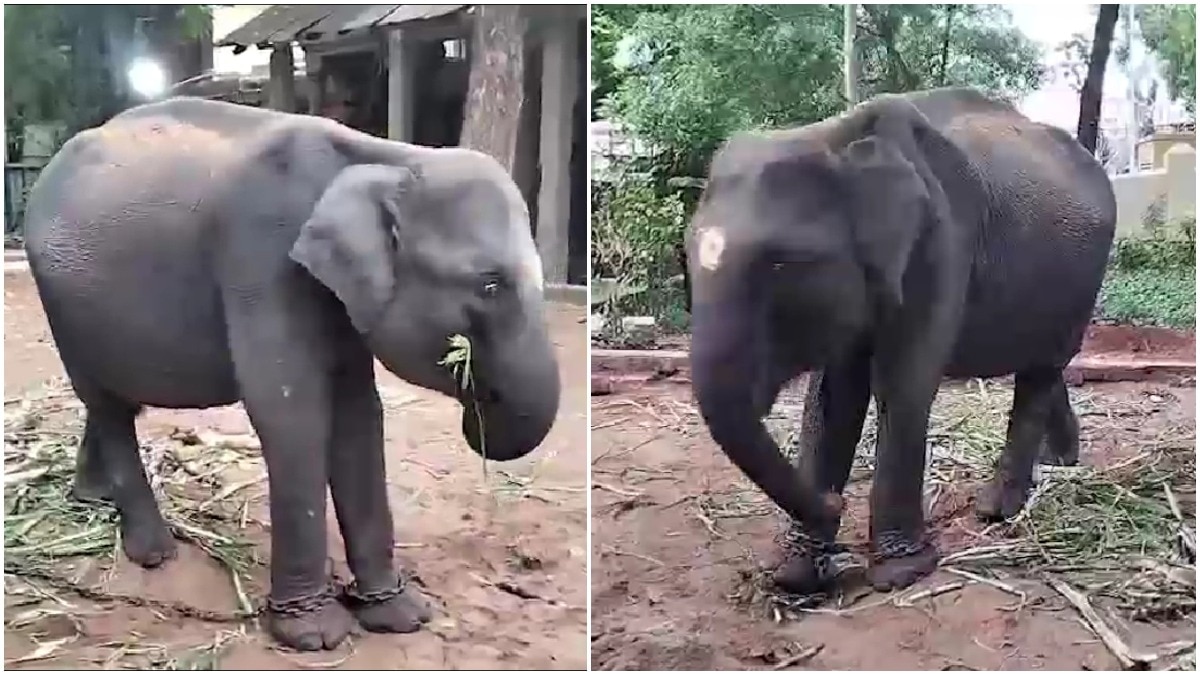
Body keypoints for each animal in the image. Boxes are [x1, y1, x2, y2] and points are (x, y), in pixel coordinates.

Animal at [23, 97, 561, 650]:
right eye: (490, 285)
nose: (478, 411)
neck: (389, 157)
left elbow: (358, 416)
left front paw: (400, 615)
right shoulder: (262, 257)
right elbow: (290, 411)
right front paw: (314, 635)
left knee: (111, 401)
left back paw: (92, 498)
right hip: (61, 306)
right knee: (107, 405)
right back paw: (153, 552)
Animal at [686, 87, 1116, 595]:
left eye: (780, 264)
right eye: (686, 256)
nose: (834, 504)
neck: (836, 138)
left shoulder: (943, 242)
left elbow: (902, 385)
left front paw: (901, 573)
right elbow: (832, 399)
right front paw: (795, 575)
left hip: (1081, 282)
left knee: (1043, 369)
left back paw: (996, 509)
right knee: (1043, 366)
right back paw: (1059, 462)